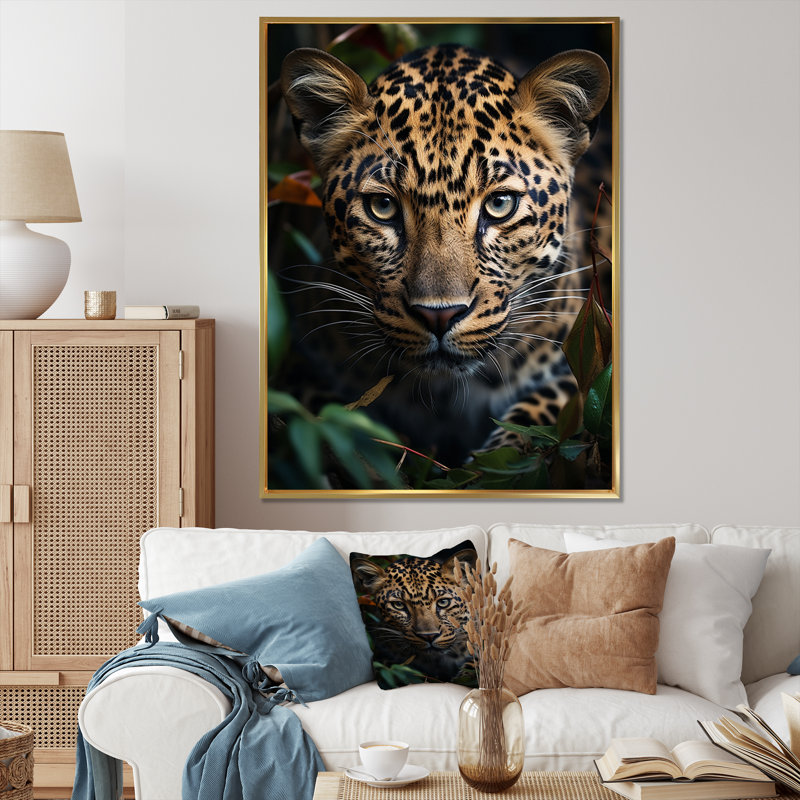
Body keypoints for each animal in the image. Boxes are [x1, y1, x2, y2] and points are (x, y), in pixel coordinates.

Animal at [277, 43, 610, 466]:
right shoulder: (299, 367)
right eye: (383, 207)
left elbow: (544, 415)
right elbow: (321, 418)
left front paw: (494, 461)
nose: (439, 315)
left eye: (500, 204)